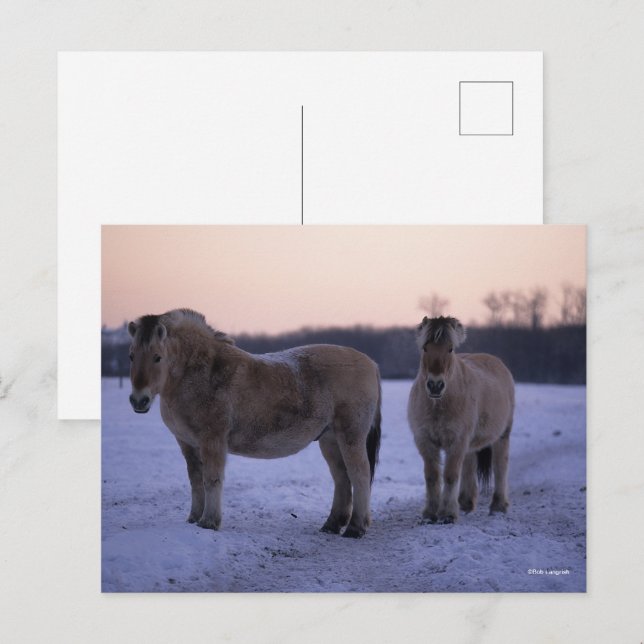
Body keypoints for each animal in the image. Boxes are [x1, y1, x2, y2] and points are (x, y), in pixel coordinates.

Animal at [127, 308, 382, 538]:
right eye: (131, 356)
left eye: (157, 357)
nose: (139, 400)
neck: (203, 372)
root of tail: (370, 363)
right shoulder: (187, 443)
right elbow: (195, 480)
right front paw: (193, 519)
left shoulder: (212, 440)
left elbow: (211, 479)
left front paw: (209, 522)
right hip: (329, 440)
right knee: (341, 478)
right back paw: (332, 524)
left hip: (350, 436)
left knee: (359, 475)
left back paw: (355, 528)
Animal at [407, 316, 515, 524]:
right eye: (425, 347)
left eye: (450, 348)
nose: (435, 385)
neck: (439, 405)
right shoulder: (425, 440)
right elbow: (432, 476)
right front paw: (430, 513)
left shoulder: (456, 441)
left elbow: (450, 475)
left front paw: (448, 514)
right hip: (470, 443)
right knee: (469, 464)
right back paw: (465, 503)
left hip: (502, 436)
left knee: (500, 466)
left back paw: (498, 506)